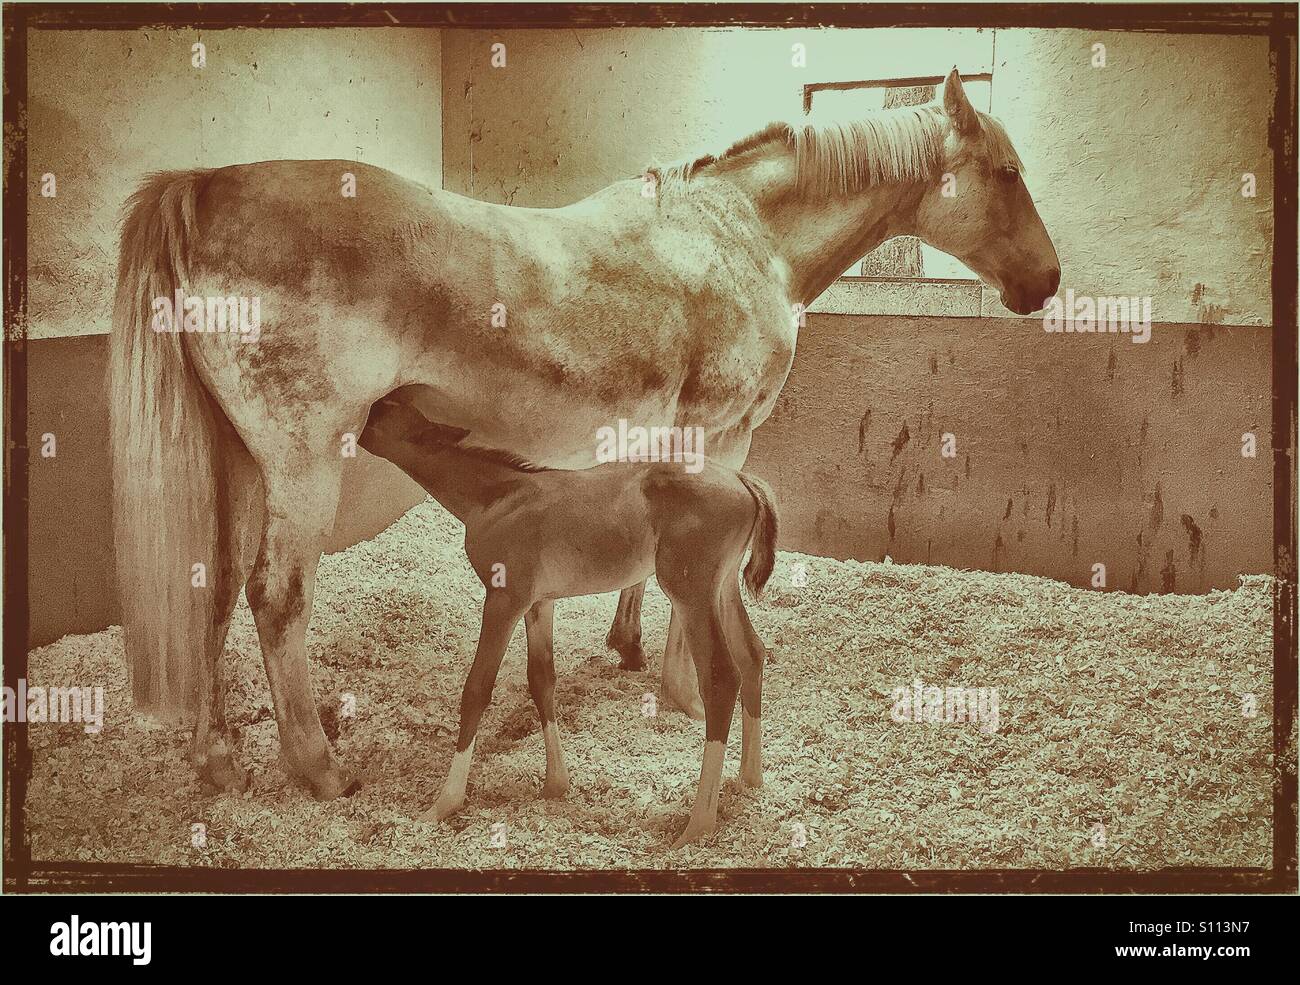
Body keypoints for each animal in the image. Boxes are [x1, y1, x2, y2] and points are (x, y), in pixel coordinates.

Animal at [111, 69, 1060, 800]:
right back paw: (316, 767)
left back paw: (218, 758)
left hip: (243, 465)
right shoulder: (720, 438)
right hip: (303, 460)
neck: (740, 235)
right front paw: (685, 687)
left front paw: (629, 648)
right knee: (277, 596)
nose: (1047, 282)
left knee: (216, 587)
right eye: (1008, 171)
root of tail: (206, 186)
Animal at [356, 400, 774, 847]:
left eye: (382, 412)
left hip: (690, 591)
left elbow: (477, 690)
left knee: (720, 675)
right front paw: (556, 783)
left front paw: (444, 803)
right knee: (752, 654)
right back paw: (749, 778)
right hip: (723, 587)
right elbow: (541, 679)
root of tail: (741, 479)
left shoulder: (504, 600)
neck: (497, 496)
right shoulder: (539, 604)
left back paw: (698, 825)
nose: (357, 420)